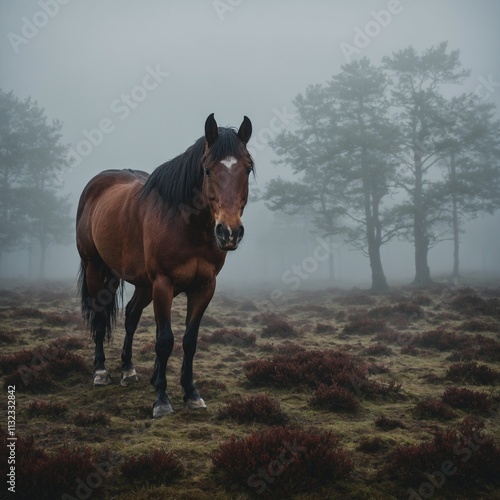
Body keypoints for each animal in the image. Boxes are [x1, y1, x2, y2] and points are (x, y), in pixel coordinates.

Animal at [75, 114, 254, 418]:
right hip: (95, 269)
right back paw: (100, 372)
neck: (185, 223)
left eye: (248, 168)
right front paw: (161, 399)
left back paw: (128, 370)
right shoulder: (163, 284)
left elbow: (190, 341)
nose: (229, 232)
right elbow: (165, 340)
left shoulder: (204, 287)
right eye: (207, 170)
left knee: (131, 316)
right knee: (100, 315)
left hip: (141, 283)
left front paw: (191, 394)